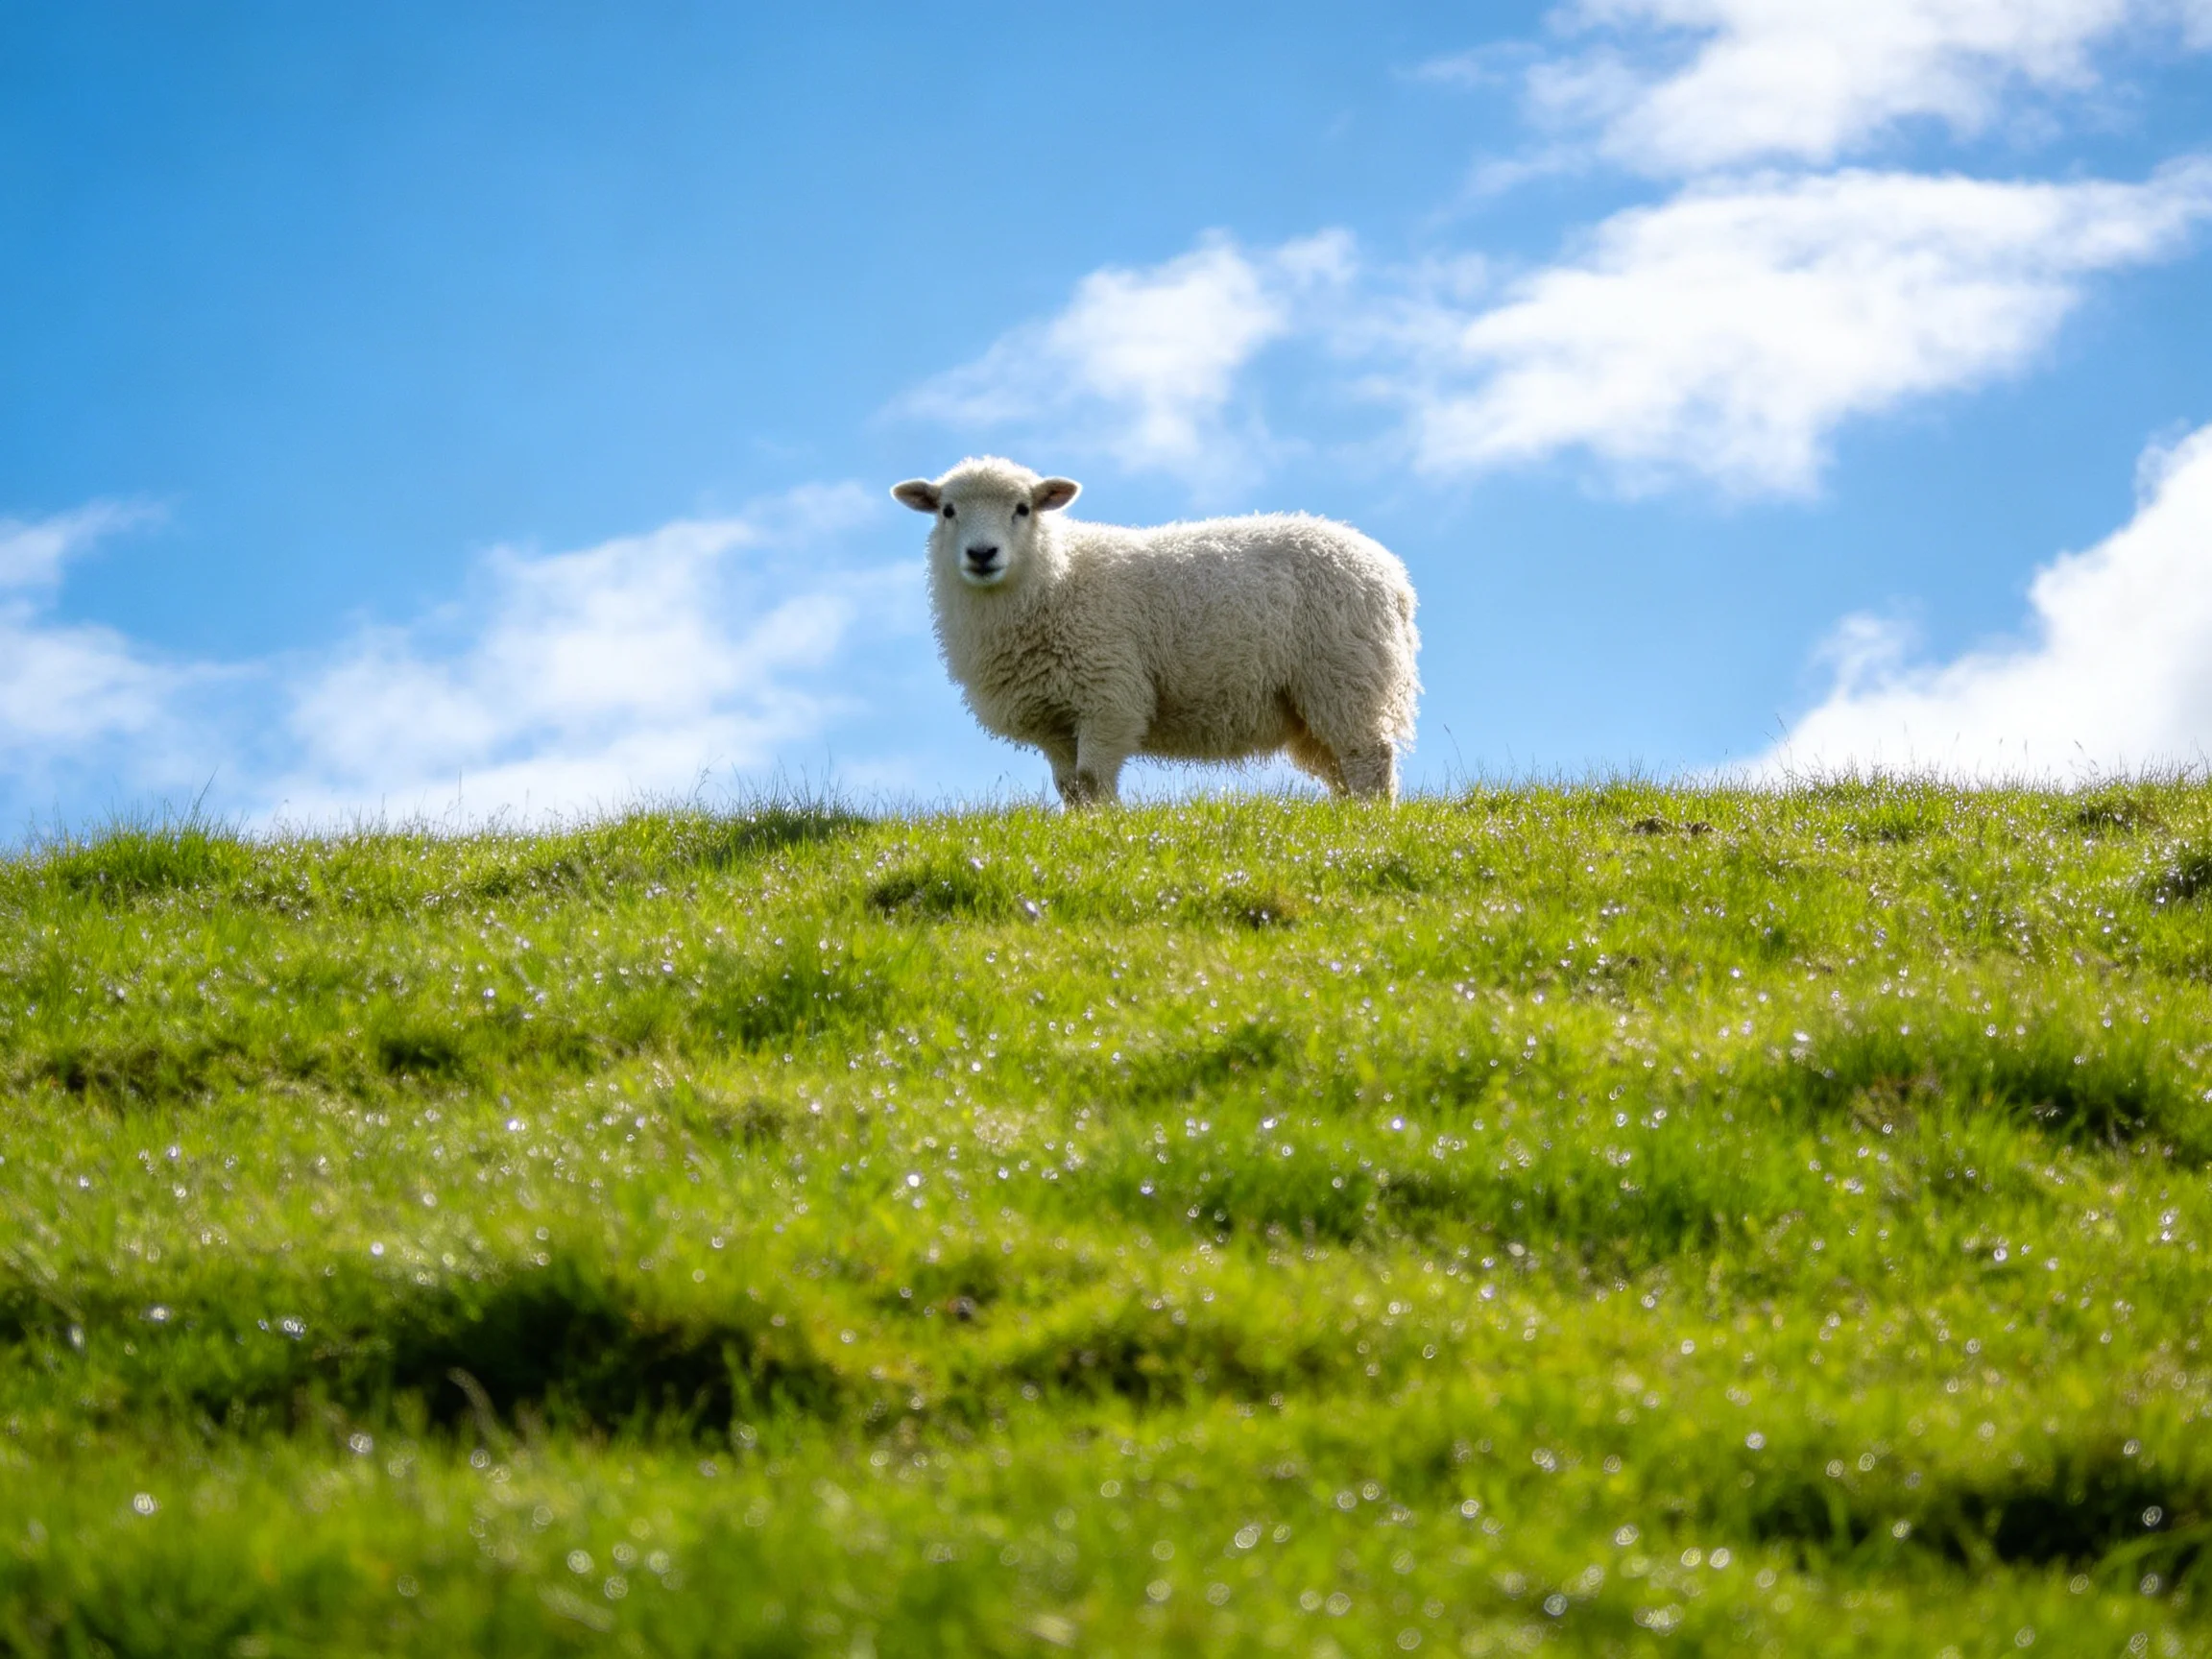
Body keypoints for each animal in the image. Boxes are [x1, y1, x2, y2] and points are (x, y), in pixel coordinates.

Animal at [891, 456, 1419, 805]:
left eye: (1023, 508)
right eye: (947, 511)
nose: (982, 554)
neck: (1057, 578)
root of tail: (1392, 575)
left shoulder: (1109, 697)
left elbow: (1092, 781)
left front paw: (1103, 831)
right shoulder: (1053, 716)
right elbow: (1070, 788)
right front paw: (1079, 831)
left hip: (1346, 675)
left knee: (1368, 759)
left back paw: (1372, 821)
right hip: (1316, 700)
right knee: (1341, 768)